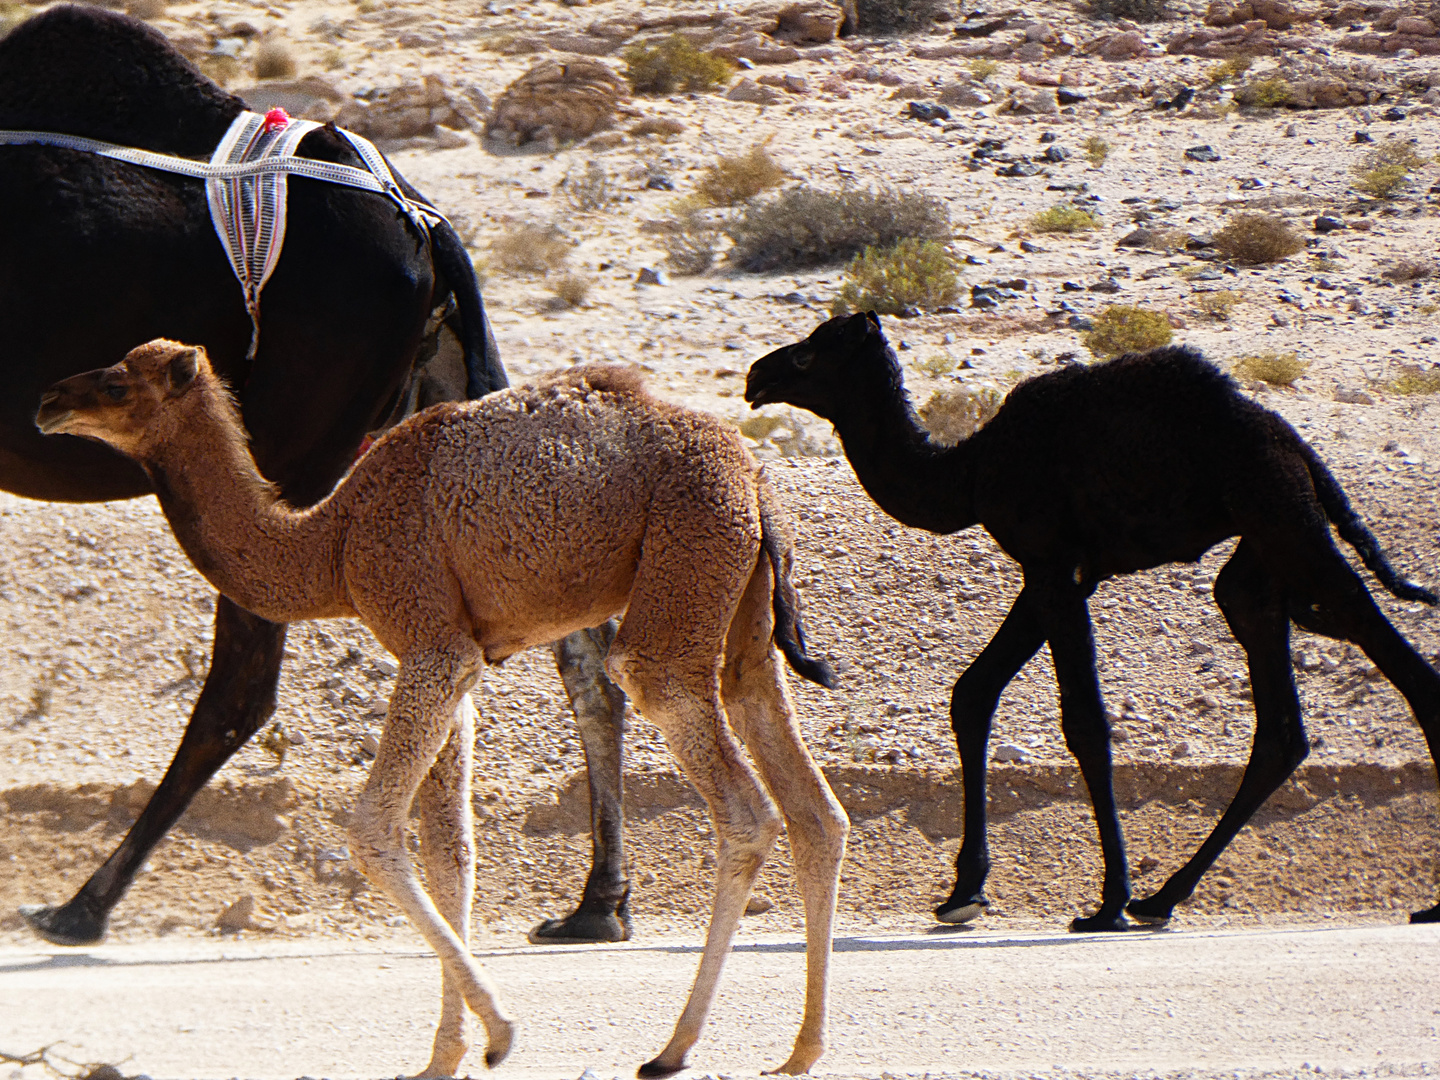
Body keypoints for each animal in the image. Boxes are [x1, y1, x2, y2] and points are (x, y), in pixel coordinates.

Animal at [4, 2, 630, 944]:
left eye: (118, 379)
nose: (48, 399)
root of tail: (427, 224)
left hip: (303, 438)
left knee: (243, 682)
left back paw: (83, 906)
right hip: (441, 399)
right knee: (581, 641)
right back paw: (596, 904)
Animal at [743, 312, 1440, 933]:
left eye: (808, 354)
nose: (756, 375)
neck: (970, 470)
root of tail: (1297, 445)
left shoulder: (1052, 563)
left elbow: (1084, 722)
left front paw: (1106, 902)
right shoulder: (1056, 572)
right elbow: (972, 693)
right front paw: (964, 893)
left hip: (1282, 515)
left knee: (1398, 658)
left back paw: (1427, 903)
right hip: (1258, 553)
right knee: (1278, 714)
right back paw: (1164, 898)